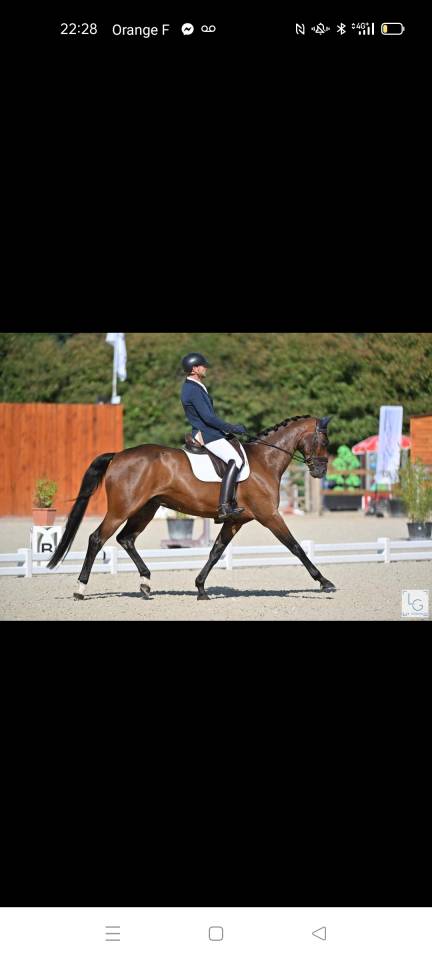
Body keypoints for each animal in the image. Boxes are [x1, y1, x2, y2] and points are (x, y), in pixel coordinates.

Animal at [47, 414, 336, 600]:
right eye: (324, 442)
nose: (320, 471)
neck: (265, 460)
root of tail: (118, 455)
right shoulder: (269, 515)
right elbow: (295, 546)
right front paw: (324, 582)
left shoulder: (235, 520)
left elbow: (216, 551)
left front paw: (200, 589)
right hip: (122, 509)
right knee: (97, 538)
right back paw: (80, 589)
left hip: (146, 509)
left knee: (126, 539)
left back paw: (145, 584)